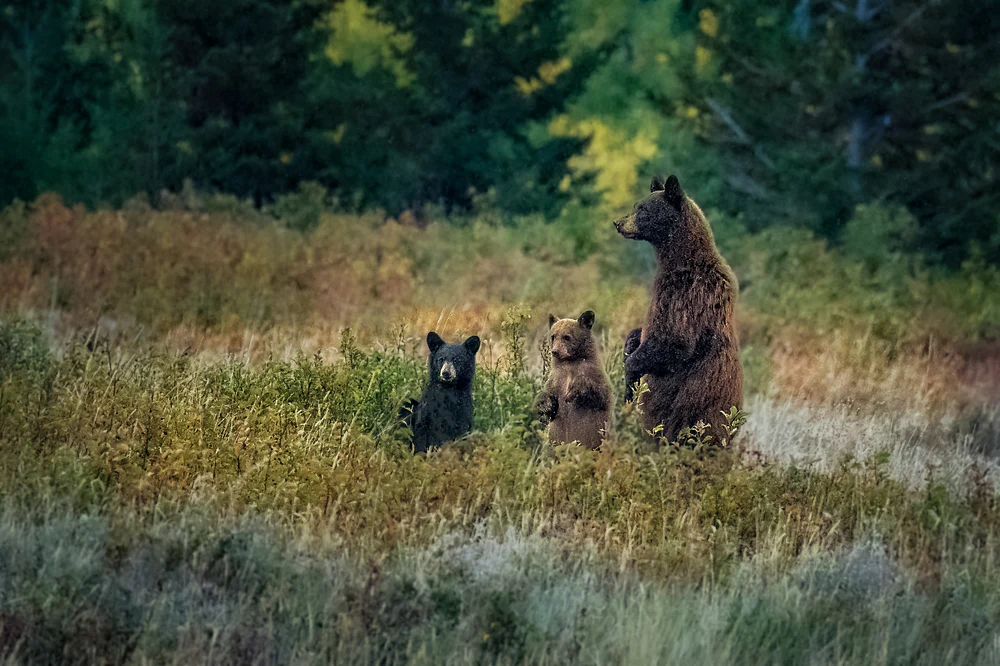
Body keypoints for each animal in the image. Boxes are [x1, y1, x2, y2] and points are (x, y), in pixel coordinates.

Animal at [535, 310, 612, 449]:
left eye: (566, 336)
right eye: (553, 336)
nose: (555, 351)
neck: (570, 362)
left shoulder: (593, 373)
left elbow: (602, 396)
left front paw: (574, 392)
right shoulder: (556, 378)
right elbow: (547, 396)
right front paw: (546, 405)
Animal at [614, 174, 743, 444]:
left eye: (643, 209)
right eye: (636, 205)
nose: (619, 223)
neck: (678, 260)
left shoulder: (685, 292)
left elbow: (676, 340)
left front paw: (630, 380)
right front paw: (630, 342)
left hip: (694, 413)